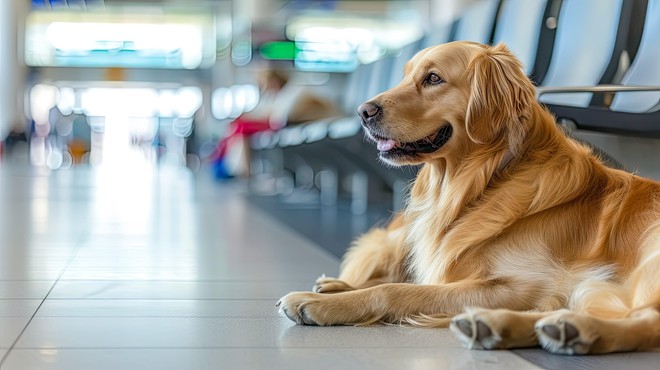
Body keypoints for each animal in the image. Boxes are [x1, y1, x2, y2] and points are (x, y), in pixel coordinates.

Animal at [276, 41, 656, 356]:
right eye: (405, 76)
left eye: (433, 78)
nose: (363, 111)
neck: (484, 182)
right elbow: (406, 281)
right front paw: (336, 288)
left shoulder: (528, 285)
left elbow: (395, 290)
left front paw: (318, 303)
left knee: (646, 324)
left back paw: (567, 329)